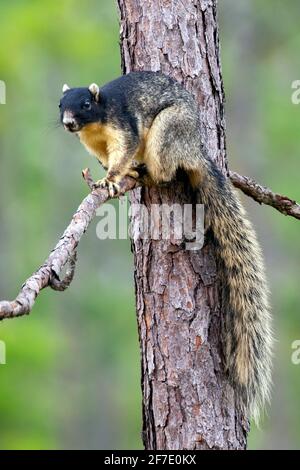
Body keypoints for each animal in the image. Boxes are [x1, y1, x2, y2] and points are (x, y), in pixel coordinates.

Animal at [58, 71, 272, 424]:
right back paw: (137, 170)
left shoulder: (124, 128)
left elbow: (122, 152)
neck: (95, 126)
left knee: (166, 169)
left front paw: (110, 180)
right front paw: (114, 173)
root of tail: (195, 150)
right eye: (60, 104)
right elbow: (107, 158)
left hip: (168, 132)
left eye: (86, 103)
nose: (68, 123)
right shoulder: (94, 145)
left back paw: (148, 173)